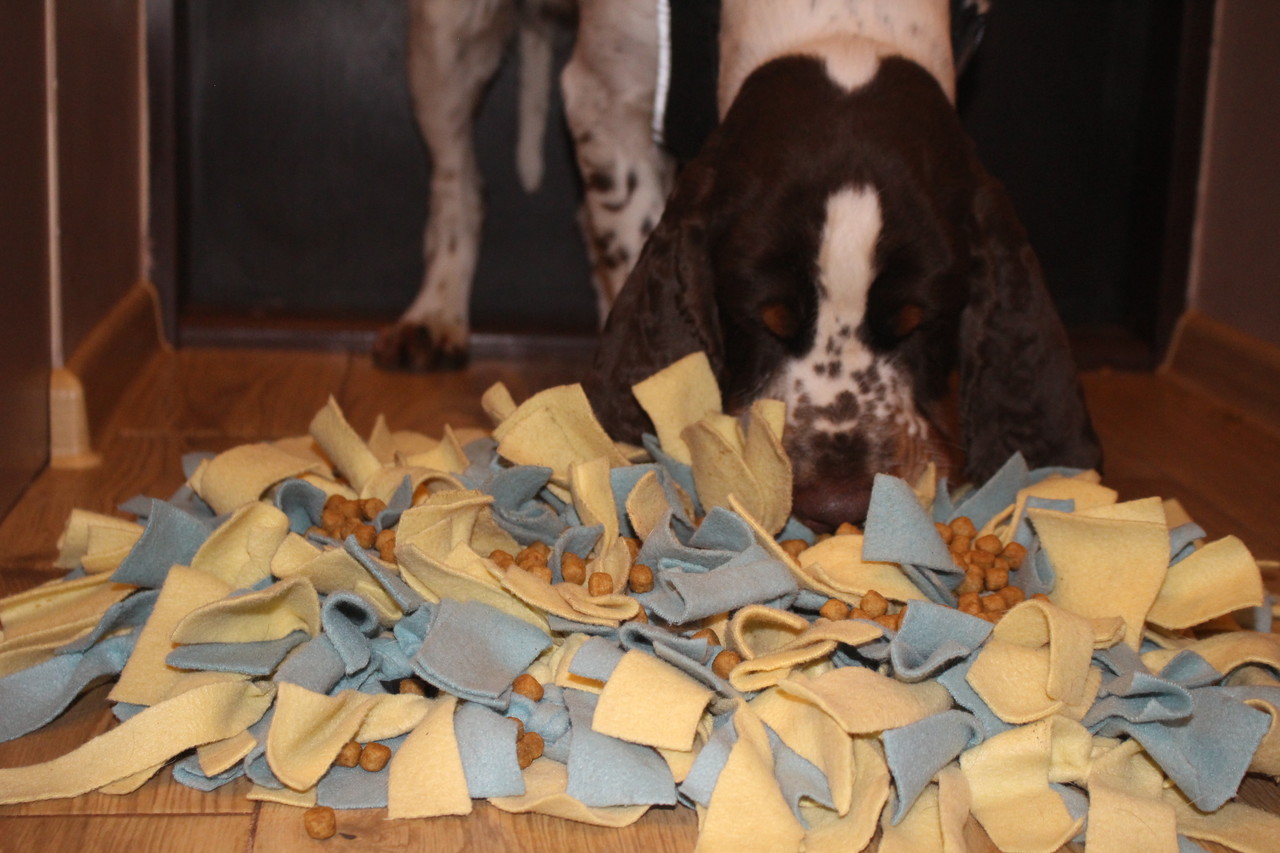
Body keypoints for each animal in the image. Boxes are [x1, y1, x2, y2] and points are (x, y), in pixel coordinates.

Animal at [380, 0, 1101, 530]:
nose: (838, 505)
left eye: (919, 323)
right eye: (766, 319)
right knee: (458, 181)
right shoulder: (606, 104)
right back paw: (435, 314)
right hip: (448, 39)